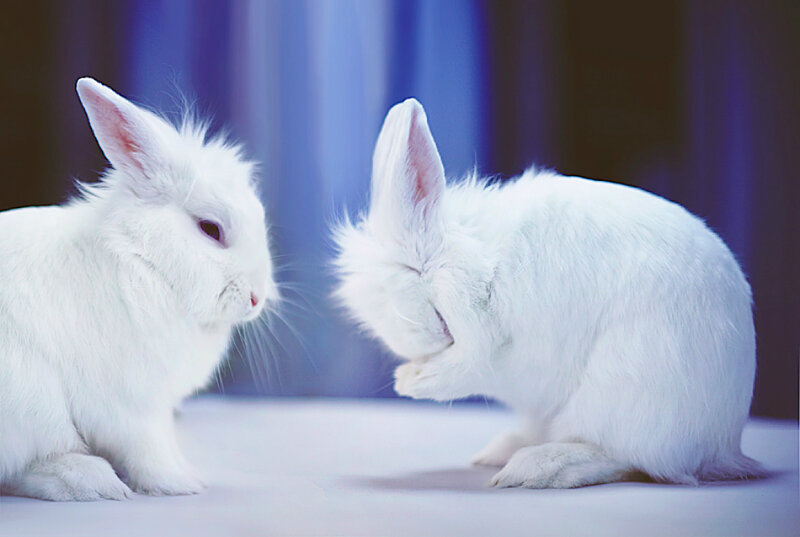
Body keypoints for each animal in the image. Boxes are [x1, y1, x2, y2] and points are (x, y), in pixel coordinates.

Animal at [0, 78, 278, 501]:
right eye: (210, 229)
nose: (255, 298)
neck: (146, 262)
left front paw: (189, 475)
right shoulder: (131, 410)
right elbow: (150, 451)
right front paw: (182, 484)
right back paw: (91, 481)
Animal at [333, 98, 763, 488]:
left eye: (415, 278)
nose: (431, 341)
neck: (484, 266)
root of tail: (722, 446)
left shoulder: (499, 348)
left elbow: (470, 367)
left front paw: (411, 380)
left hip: (620, 401)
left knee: (624, 458)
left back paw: (532, 468)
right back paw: (501, 450)